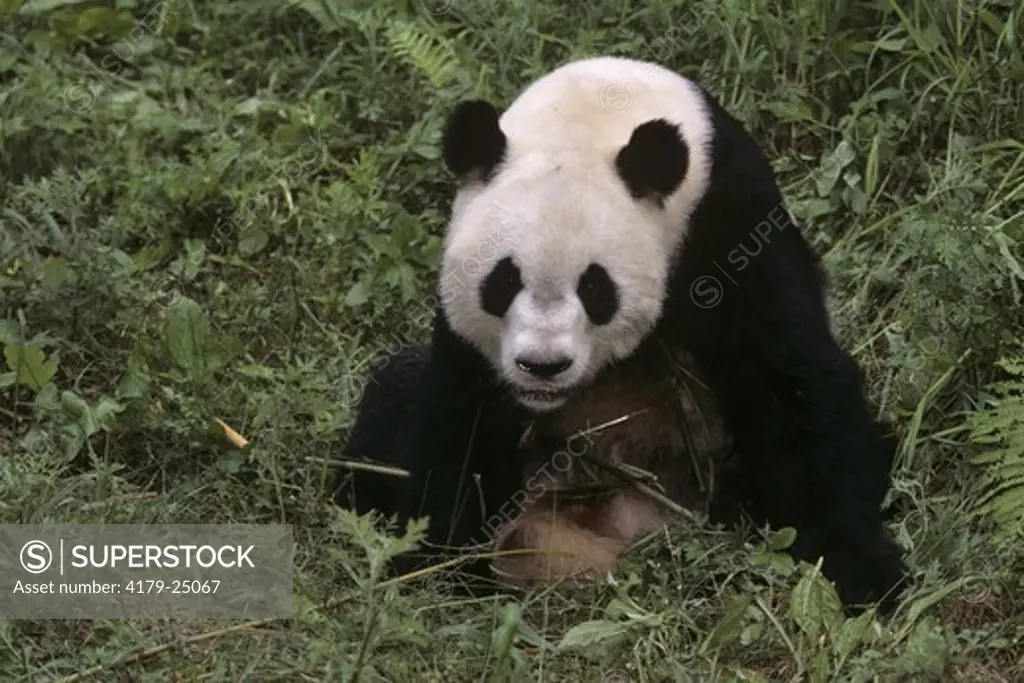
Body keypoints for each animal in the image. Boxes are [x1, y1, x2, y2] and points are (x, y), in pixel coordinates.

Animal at [339, 56, 909, 614]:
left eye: (595, 287)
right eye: (503, 281)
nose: (542, 366)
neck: (597, 108)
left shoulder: (729, 222)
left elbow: (788, 380)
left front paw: (862, 572)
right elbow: (458, 415)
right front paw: (442, 561)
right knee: (390, 398)